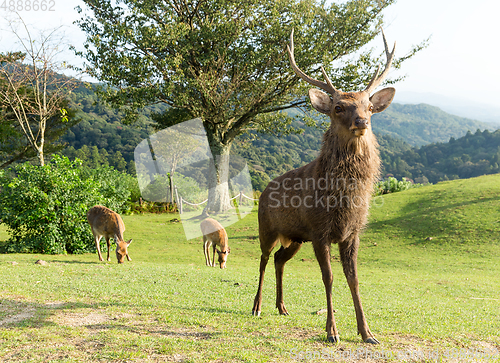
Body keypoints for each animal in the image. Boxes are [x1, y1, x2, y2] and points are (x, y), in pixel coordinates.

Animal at [252, 28, 396, 344]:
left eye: (369, 106)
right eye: (338, 107)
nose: (362, 121)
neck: (343, 200)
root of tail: (263, 190)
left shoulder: (352, 233)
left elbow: (354, 279)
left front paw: (367, 332)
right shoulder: (319, 231)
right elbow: (328, 277)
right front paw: (332, 331)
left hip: (294, 238)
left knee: (280, 259)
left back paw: (281, 306)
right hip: (267, 228)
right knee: (264, 259)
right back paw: (256, 306)